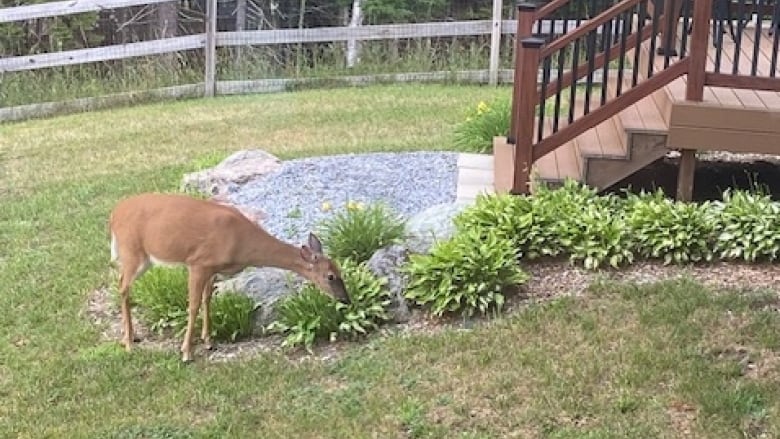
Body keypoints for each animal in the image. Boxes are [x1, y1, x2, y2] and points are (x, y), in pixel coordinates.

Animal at [107, 194, 348, 362]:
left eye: (340, 272)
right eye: (330, 276)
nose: (346, 300)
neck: (242, 242)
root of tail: (114, 214)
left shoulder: (213, 269)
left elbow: (207, 300)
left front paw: (208, 342)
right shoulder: (198, 262)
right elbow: (193, 305)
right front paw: (186, 353)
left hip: (143, 258)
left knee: (120, 282)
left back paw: (128, 337)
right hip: (132, 250)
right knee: (123, 287)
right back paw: (129, 342)